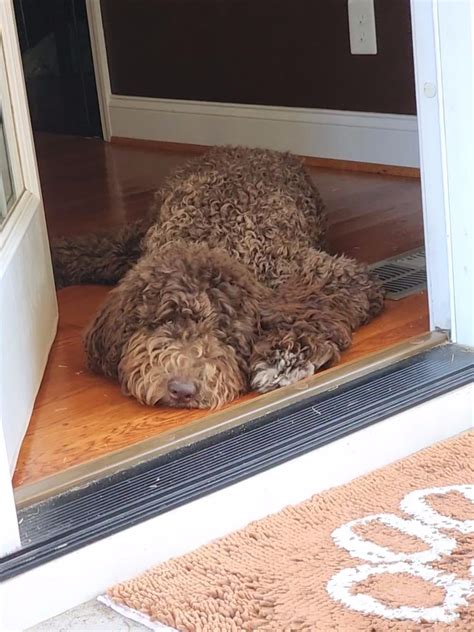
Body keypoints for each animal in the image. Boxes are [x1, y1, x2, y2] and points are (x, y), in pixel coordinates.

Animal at [52, 144, 386, 410]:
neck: (214, 237)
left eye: (223, 332)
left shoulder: (323, 272)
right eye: (163, 321)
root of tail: (248, 147)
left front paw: (285, 356)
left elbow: (315, 307)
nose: (182, 389)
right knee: (101, 248)